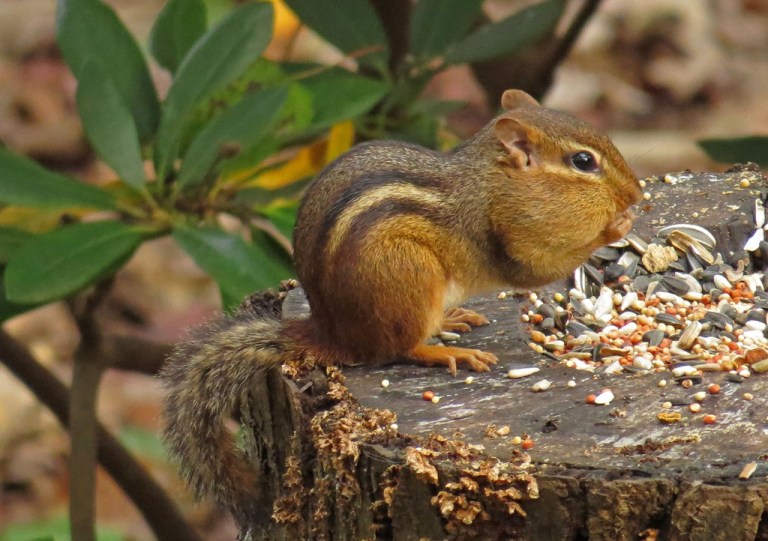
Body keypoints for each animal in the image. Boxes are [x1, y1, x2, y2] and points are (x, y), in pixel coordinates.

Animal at [161, 89, 643, 521]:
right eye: (583, 162)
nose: (636, 192)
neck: (495, 182)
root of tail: (333, 333)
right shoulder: (511, 236)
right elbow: (538, 268)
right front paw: (616, 226)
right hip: (411, 277)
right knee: (400, 348)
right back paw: (448, 351)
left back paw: (452, 319)